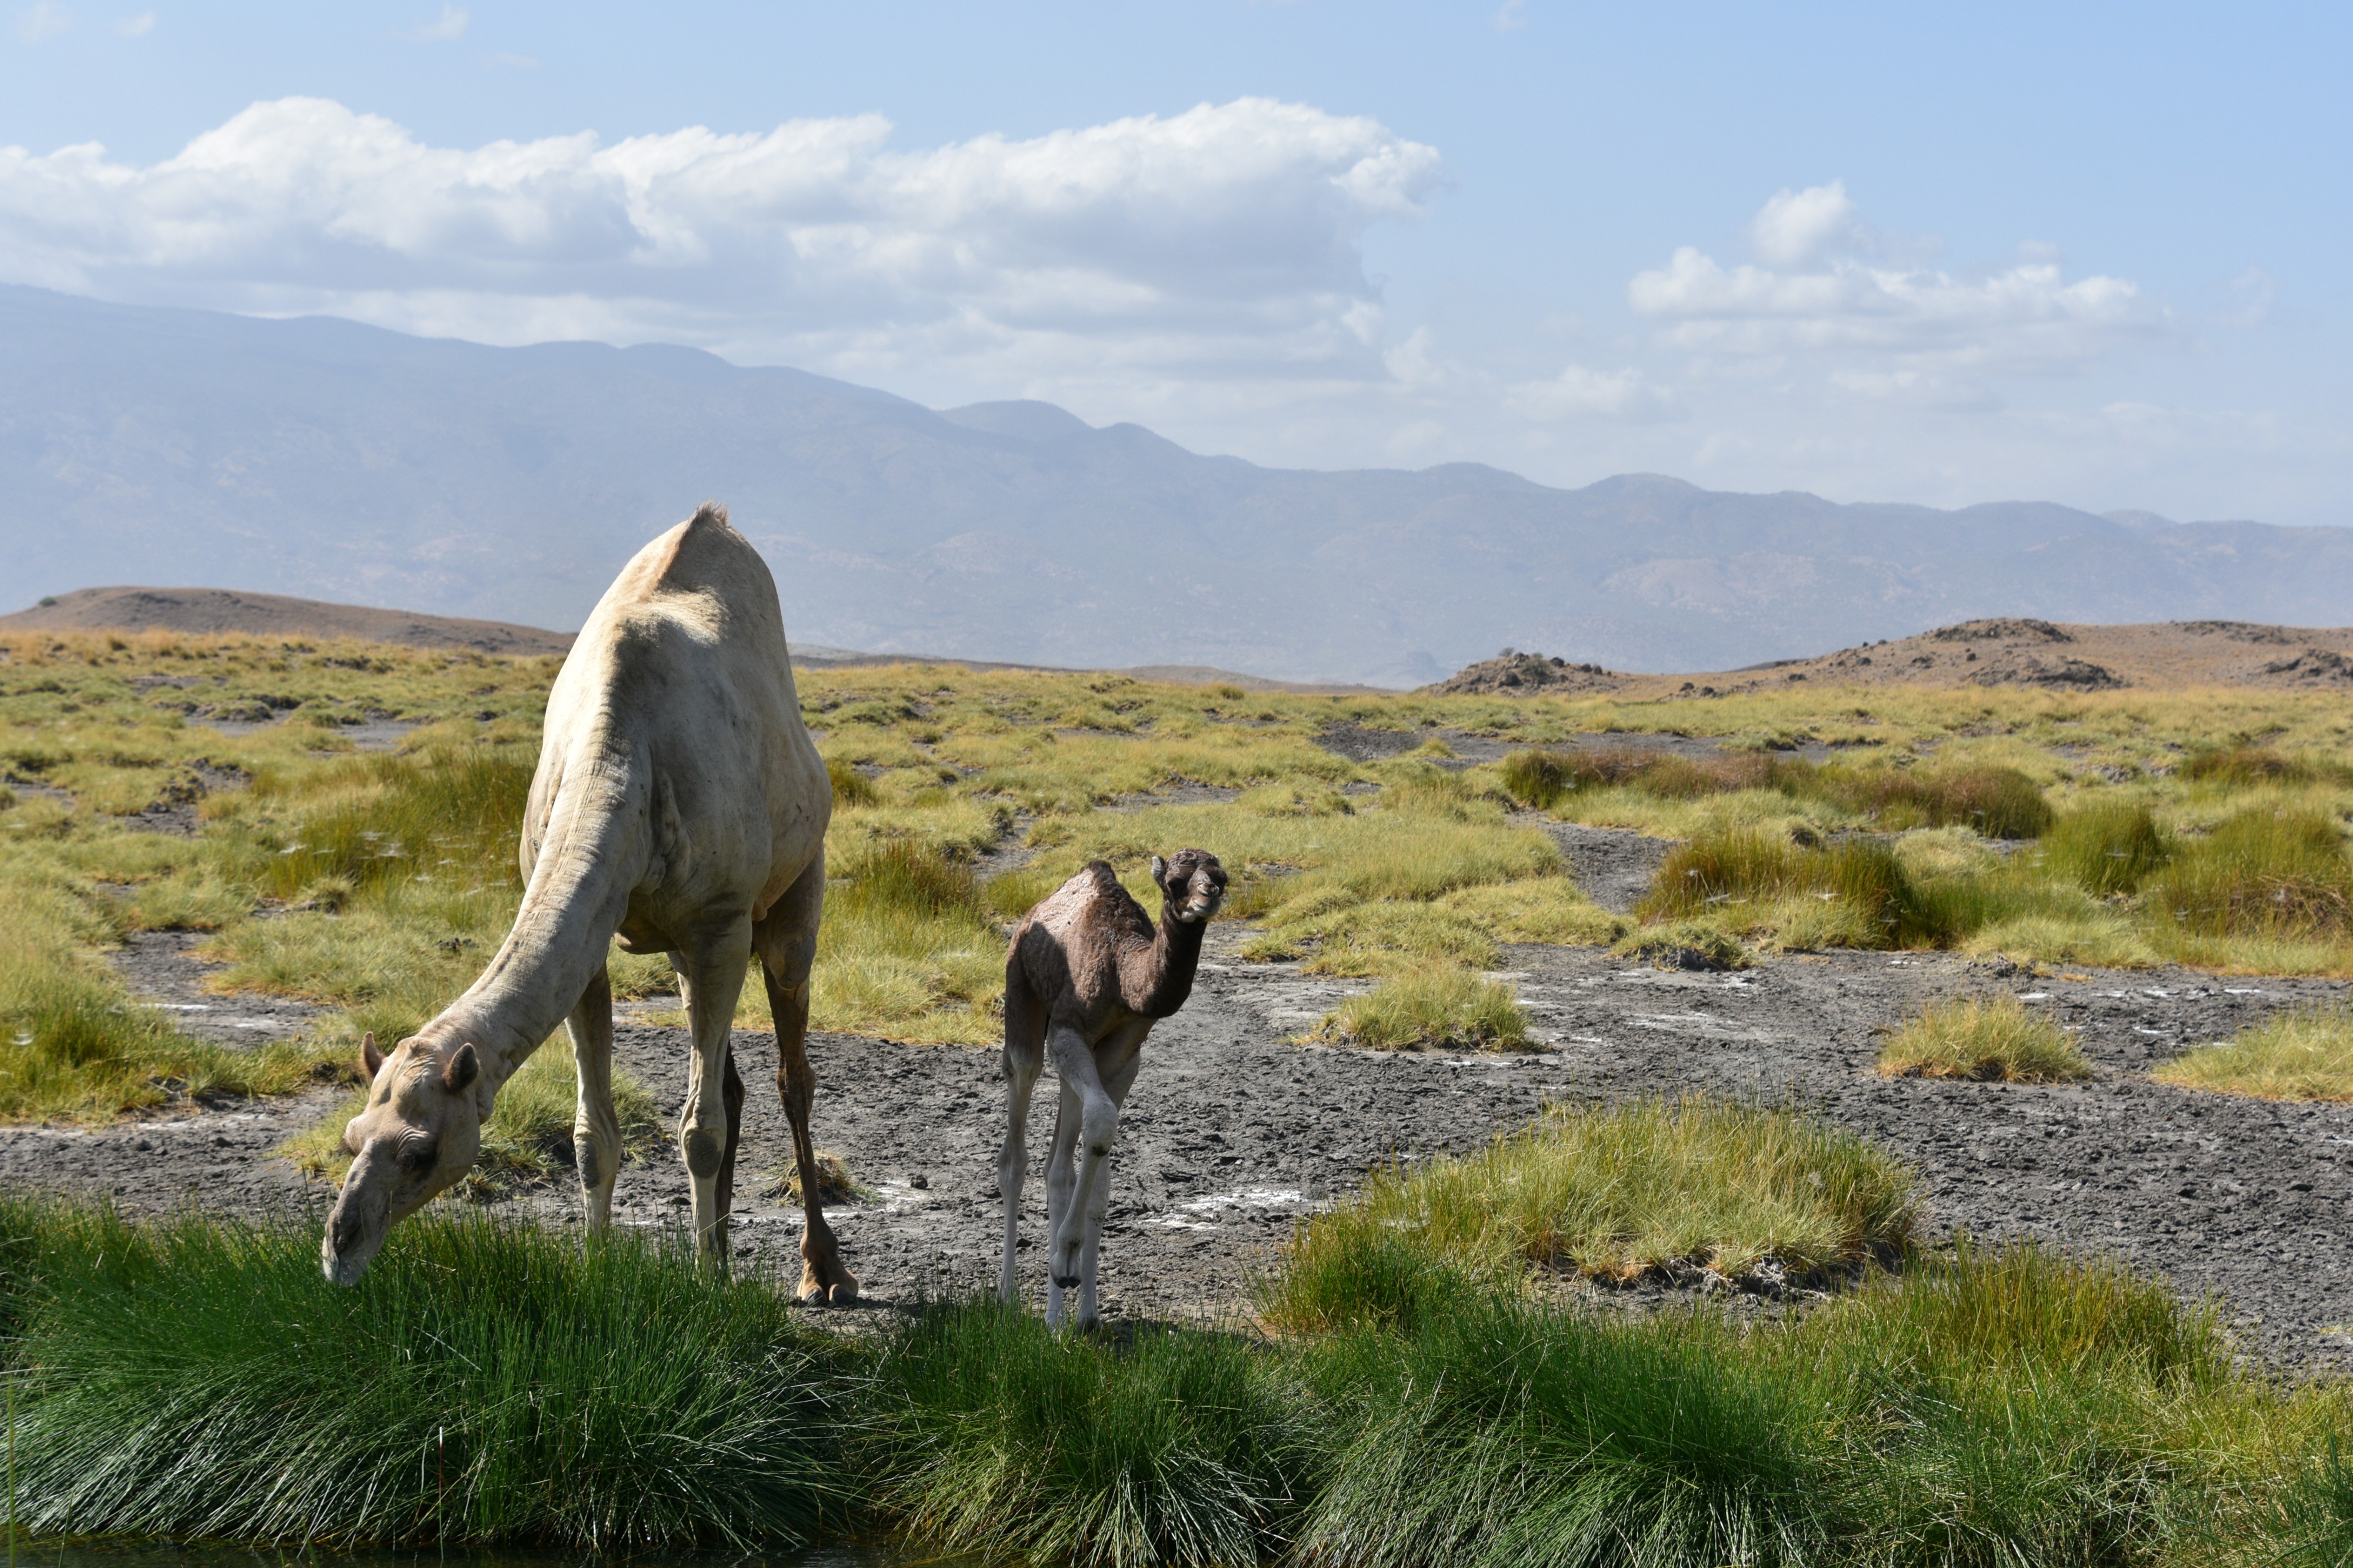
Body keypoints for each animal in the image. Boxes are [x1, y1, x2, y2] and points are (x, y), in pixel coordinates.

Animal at [321, 503, 858, 1303]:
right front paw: (604, 1269)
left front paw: (707, 1286)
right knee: (728, 1078)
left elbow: (699, 1129)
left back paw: (821, 1269)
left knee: (793, 1073)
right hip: (682, 948)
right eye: (353, 1137)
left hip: (794, 893)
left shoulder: (721, 922)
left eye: (422, 1151)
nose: (338, 1248)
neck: (622, 763)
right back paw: (727, 1246)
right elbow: (591, 1134)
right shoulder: (601, 945)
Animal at [998, 850, 1227, 1328]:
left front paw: (1087, 1312)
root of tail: (1030, 916)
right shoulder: (1068, 1030)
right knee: (1017, 1145)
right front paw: (1065, 1261)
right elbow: (1102, 1122)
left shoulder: (1125, 1055)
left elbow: (1100, 1173)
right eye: (1175, 882)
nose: (1209, 896)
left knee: (1058, 1163)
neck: (1124, 975)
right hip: (1023, 999)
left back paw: (1060, 1317)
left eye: (1222, 876)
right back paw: (1009, 1298)